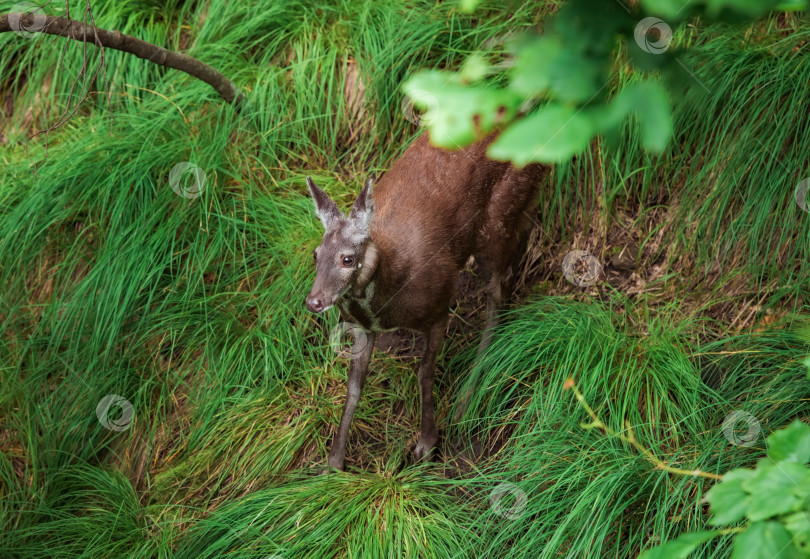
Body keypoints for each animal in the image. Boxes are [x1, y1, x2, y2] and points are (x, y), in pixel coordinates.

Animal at [306, 133, 548, 470]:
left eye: (347, 259)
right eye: (315, 255)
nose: (314, 301)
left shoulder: (439, 303)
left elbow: (424, 371)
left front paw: (426, 444)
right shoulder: (362, 328)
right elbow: (353, 388)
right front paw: (334, 463)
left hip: (495, 222)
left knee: (497, 295)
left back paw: (466, 399)